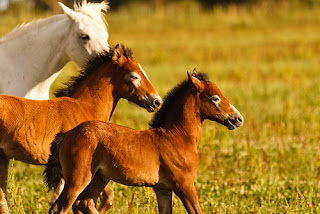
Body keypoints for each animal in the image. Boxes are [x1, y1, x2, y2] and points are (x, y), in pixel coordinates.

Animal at [45, 69, 244, 213]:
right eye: (215, 98)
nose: (238, 118)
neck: (176, 137)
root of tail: (67, 134)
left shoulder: (163, 189)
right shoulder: (185, 186)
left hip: (99, 178)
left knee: (84, 203)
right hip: (78, 178)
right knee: (61, 207)